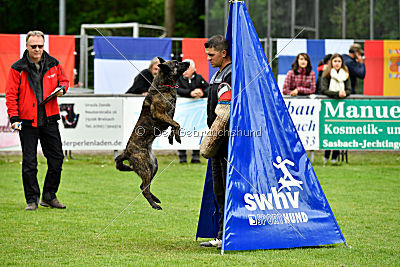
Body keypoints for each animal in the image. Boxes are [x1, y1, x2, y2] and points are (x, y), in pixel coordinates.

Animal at [115, 59, 190, 211]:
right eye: (177, 64)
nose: (188, 63)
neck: (164, 86)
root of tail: (126, 152)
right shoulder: (160, 114)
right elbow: (177, 124)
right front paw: (176, 137)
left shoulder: (169, 116)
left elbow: (174, 125)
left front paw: (172, 137)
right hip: (145, 168)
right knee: (144, 188)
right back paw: (154, 205)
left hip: (153, 166)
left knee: (144, 186)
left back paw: (155, 199)